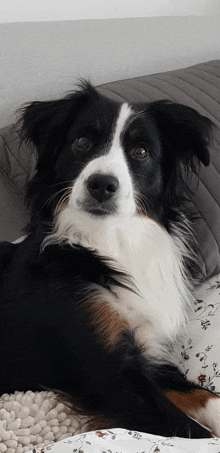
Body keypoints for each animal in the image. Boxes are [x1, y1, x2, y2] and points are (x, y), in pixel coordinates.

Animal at [0, 82, 219, 438]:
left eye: (141, 152)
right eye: (82, 142)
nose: (101, 184)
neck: (109, 240)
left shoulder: (144, 353)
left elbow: (202, 394)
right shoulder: (105, 372)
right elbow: (190, 432)